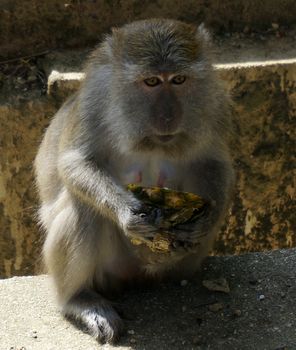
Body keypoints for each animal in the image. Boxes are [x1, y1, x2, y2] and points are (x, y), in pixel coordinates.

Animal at [34, 18, 234, 342]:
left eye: (178, 80)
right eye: (151, 82)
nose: (167, 116)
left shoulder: (214, 103)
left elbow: (214, 163)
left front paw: (203, 220)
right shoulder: (94, 102)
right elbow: (75, 162)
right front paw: (128, 212)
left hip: (180, 266)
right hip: (109, 270)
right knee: (84, 208)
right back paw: (79, 300)